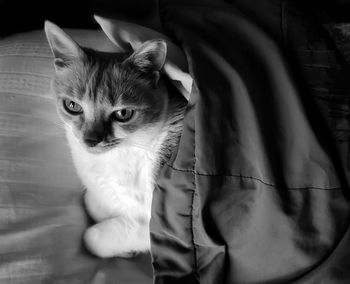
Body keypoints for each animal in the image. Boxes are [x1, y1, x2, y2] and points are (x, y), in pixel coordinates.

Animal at [44, 21, 187, 258]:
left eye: (123, 114)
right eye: (72, 106)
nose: (90, 140)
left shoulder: (161, 226)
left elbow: (95, 237)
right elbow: (93, 203)